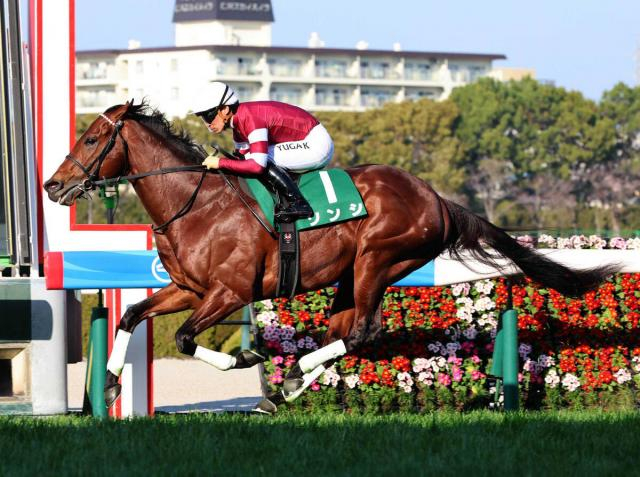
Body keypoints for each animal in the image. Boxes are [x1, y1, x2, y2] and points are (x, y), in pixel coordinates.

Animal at [44, 101, 618, 412]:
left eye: (92, 138)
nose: (53, 185)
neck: (196, 202)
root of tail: (437, 198)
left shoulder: (228, 291)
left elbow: (185, 339)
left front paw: (246, 358)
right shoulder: (187, 287)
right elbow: (132, 317)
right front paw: (109, 385)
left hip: (377, 259)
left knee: (362, 330)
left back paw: (288, 379)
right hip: (351, 273)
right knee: (343, 330)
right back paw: (289, 384)